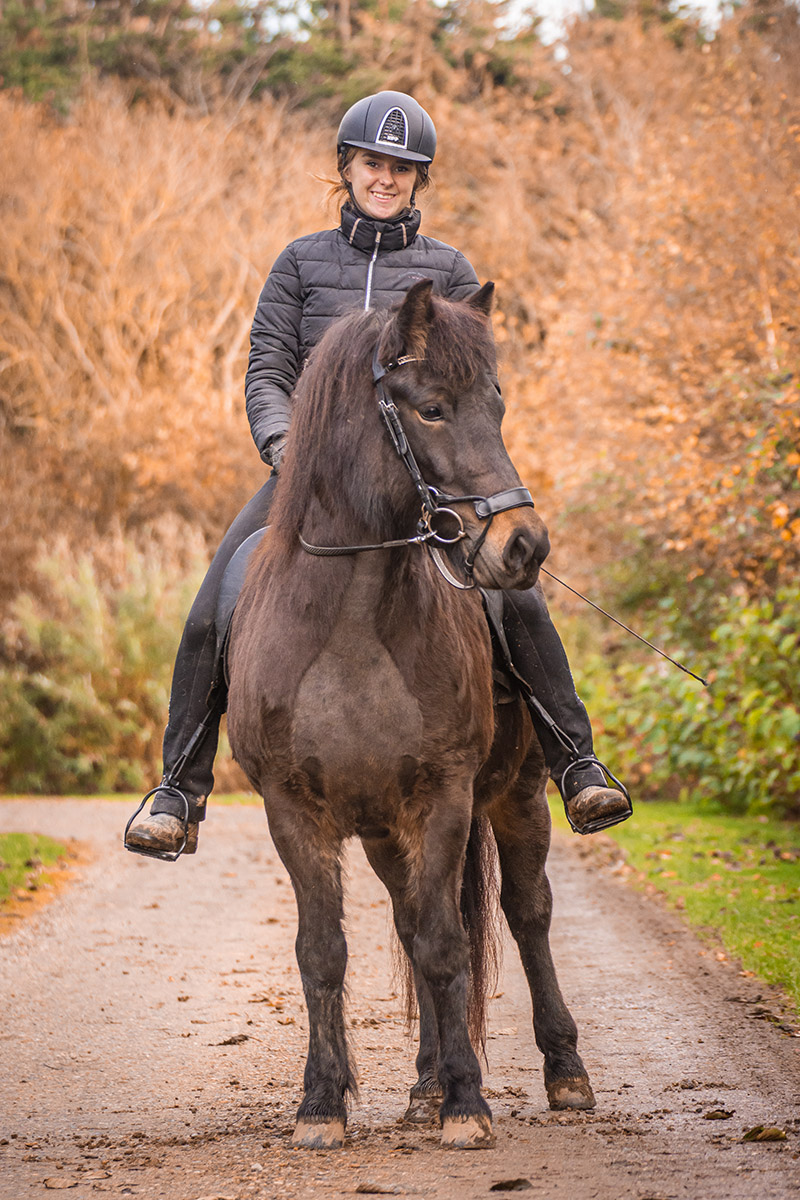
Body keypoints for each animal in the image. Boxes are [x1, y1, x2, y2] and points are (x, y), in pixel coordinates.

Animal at [225, 280, 594, 1152]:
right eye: (430, 409)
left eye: (496, 405)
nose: (524, 546)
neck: (353, 622)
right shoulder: (294, 809)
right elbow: (324, 951)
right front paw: (321, 1106)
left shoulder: (445, 796)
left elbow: (445, 944)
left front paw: (467, 1105)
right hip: (387, 834)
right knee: (404, 921)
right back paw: (424, 1086)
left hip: (518, 794)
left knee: (524, 914)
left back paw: (562, 1071)